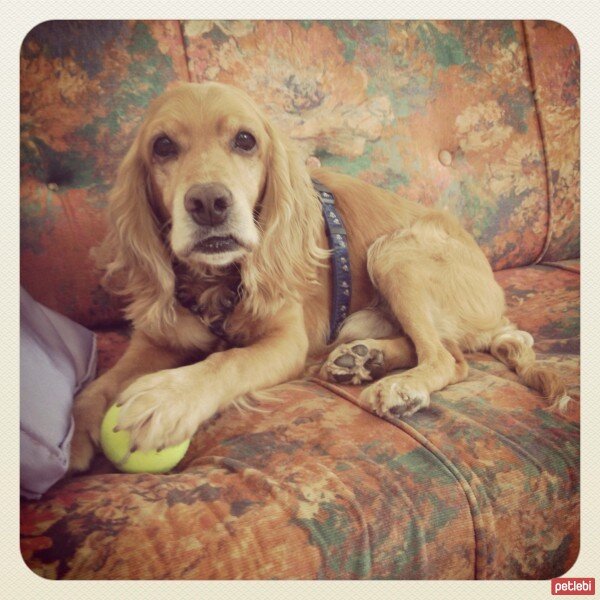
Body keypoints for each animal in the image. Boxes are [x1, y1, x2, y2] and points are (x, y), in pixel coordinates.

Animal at [69, 81, 568, 474]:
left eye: (245, 140)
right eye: (163, 146)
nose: (209, 203)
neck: (218, 280)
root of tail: (498, 312)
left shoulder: (285, 342)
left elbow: (226, 361)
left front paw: (168, 398)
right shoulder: (155, 340)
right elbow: (96, 388)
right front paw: (73, 439)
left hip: (395, 253)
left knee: (450, 358)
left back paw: (399, 385)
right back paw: (363, 358)